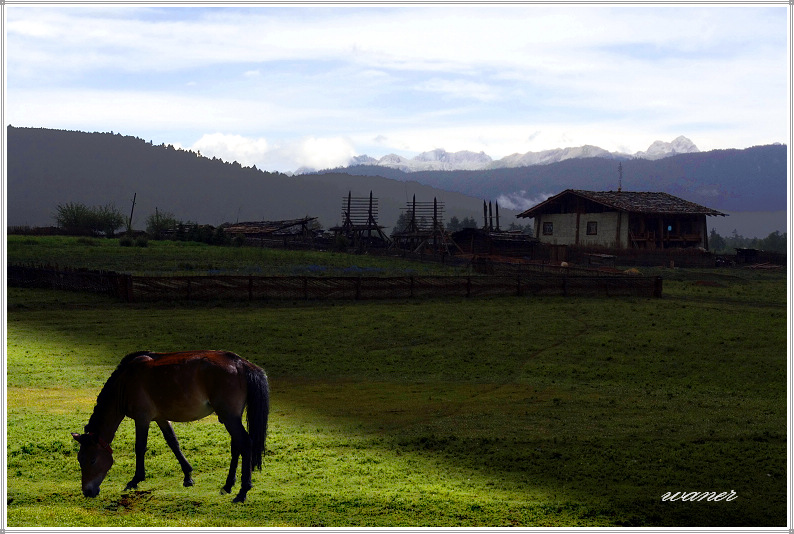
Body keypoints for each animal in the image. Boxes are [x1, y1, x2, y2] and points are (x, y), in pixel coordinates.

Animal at [69, 352, 266, 506]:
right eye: (80, 459)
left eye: (92, 460)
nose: (87, 491)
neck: (125, 382)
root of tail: (240, 363)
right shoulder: (161, 418)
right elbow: (173, 443)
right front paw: (188, 476)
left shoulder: (142, 418)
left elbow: (140, 447)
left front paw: (135, 480)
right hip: (230, 417)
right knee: (237, 446)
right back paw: (228, 485)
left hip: (229, 417)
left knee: (245, 443)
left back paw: (242, 491)